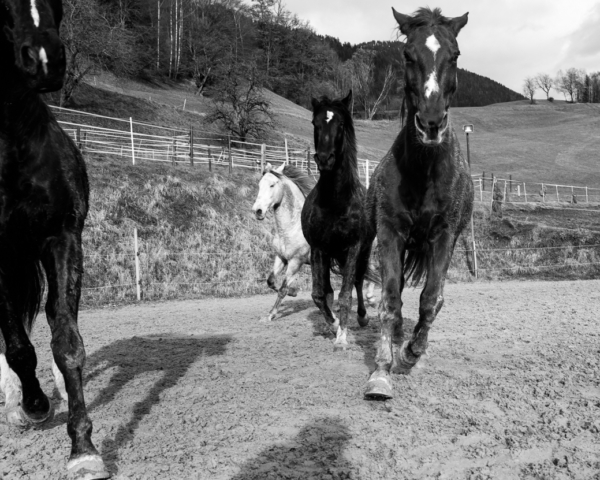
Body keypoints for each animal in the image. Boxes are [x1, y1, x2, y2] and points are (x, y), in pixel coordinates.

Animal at [250, 163, 372, 324]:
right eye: (259, 185)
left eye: (272, 185)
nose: (257, 210)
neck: (292, 227)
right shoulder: (281, 258)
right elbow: (270, 281)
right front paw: (293, 293)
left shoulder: (296, 262)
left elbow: (282, 289)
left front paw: (271, 314)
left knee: (362, 278)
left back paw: (366, 309)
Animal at [304, 92, 376, 350]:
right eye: (315, 123)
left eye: (341, 124)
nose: (325, 159)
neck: (335, 201)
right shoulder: (318, 248)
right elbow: (318, 294)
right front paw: (334, 324)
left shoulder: (353, 247)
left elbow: (346, 294)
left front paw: (342, 337)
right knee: (327, 289)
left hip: (362, 252)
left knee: (357, 282)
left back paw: (362, 317)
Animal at [364, 6, 476, 402]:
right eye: (408, 55)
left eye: (454, 54)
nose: (430, 123)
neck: (424, 170)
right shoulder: (390, 233)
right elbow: (389, 298)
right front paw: (382, 370)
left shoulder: (444, 236)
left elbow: (430, 299)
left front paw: (411, 353)